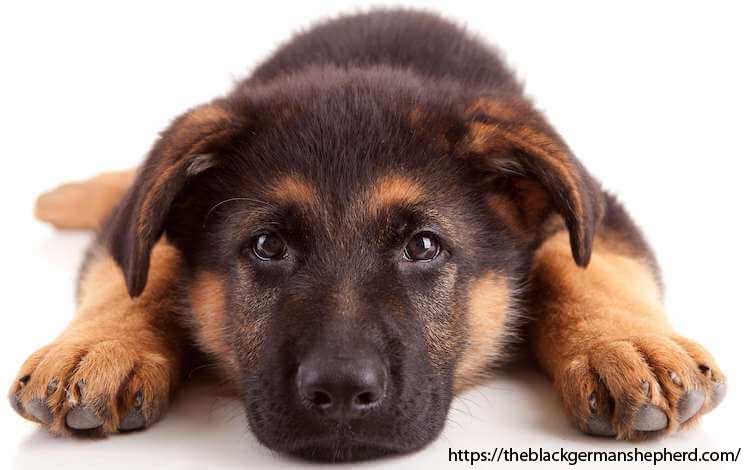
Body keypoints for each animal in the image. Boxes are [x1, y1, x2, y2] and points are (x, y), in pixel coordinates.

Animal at [10, 10, 728, 462]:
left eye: (424, 246)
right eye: (267, 247)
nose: (341, 396)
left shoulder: (598, 209)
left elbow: (578, 261)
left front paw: (624, 344)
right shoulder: (134, 231)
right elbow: (142, 267)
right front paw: (100, 347)